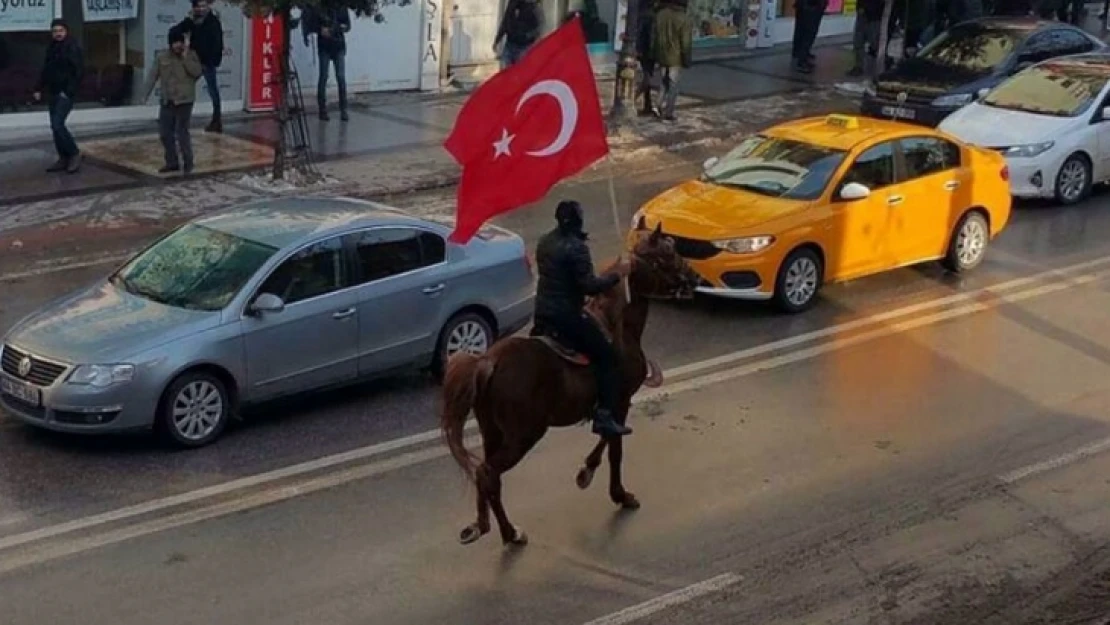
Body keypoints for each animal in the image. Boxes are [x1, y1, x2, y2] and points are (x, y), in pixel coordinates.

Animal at [439, 226, 692, 548]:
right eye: (668, 252)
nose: (693, 279)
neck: (617, 326)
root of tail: (487, 361)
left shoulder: (610, 405)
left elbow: (607, 439)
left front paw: (588, 473)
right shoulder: (619, 402)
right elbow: (614, 445)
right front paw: (615, 491)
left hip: (492, 431)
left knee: (486, 476)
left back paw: (490, 527)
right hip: (524, 435)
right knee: (487, 472)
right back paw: (507, 532)